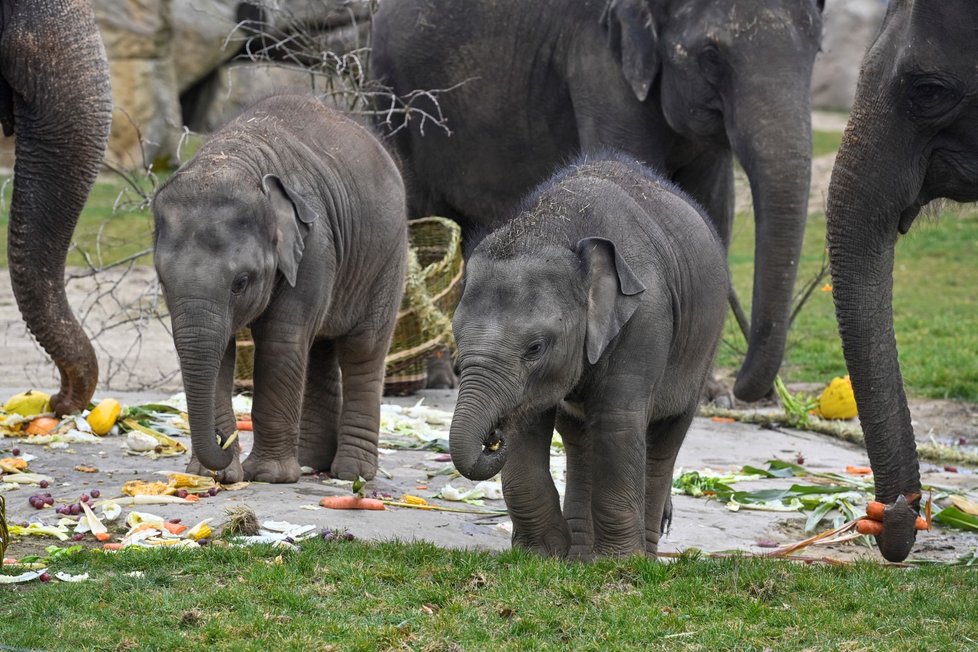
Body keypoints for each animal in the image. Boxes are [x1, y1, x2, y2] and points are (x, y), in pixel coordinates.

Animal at [154, 91, 406, 484]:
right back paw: (312, 463)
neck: (234, 158)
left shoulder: (314, 245)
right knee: (319, 349)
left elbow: (280, 341)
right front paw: (214, 474)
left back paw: (353, 473)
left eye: (241, 283)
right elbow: (221, 351)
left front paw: (268, 475)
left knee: (362, 349)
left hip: (387, 257)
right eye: (162, 281)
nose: (223, 441)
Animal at [372, 0, 824, 402]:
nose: (759, 393)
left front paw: (710, 395)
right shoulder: (598, 59)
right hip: (394, 96)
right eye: (711, 55)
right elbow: (631, 160)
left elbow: (713, 206)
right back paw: (441, 380)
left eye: (818, 49)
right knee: (425, 208)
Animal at [446, 155, 728, 556]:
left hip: (703, 346)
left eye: (535, 347)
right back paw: (579, 555)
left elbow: (617, 421)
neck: (555, 225)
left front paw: (619, 562)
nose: (493, 437)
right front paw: (542, 555)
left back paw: (642, 555)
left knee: (665, 438)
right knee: (579, 439)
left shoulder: (646, 317)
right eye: (457, 337)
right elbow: (530, 422)